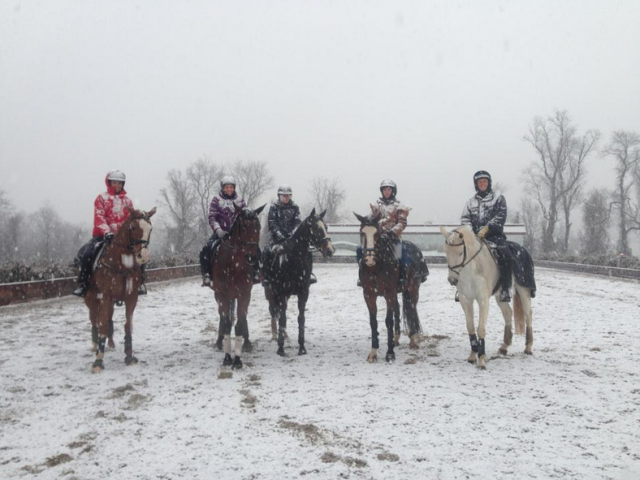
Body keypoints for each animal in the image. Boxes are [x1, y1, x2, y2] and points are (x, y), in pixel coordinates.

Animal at [84, 205, 156, 372]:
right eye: (133, 227)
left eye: (150, 228)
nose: (143, 256)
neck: (122, 265)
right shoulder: (105, 296)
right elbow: (103, 326)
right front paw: (98, 361)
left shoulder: (131, 297)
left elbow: (128, 326)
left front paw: (129, 356)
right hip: (91, 299)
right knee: (94, 320)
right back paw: (95, 343)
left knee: (107, 318)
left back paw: (110, 343)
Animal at [206, 204, 264, 370]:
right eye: (242, 226)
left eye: (258, 226)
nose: (252, 257)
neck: (234, 264)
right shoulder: (222, 295)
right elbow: (226, 324)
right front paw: (227, 358)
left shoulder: (244, 295)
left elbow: (239, 324)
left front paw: (237, 360)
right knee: (222, 317)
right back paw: (219, 342)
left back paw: (247, 342)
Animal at [262, 210, 338, 356]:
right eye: (315, 228)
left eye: (326, 227)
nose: (330, 250)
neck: (294, 259)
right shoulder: (281, 293)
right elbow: (282, 318)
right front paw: (281, 349)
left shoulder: (303, 293)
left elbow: (301, 318)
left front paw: (302, 347)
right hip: (271, 293)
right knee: (274, 313)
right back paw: (275, 336)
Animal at [356, 210, 424, 364]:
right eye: (362, 233)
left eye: (377, 233)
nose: (369, 259)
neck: (376, 268)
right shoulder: (368, 294)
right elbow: (373, 321)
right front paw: (373, 352)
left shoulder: (389, 293)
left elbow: (388, 321)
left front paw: (390, 353)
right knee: (398, 309)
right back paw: (396, 338)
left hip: (413, 290)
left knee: (412, 310)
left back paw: (413, 339)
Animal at [440, 226, 536, 372]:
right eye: (446, 252)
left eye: (460, 253)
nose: (452, 280)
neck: (472, 268)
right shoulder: (465, 299)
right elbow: (470, 327)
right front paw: (472, 355)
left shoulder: (483, 300)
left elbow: (480, 328)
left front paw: (481, 360)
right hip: (500, 296)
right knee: (508, 313)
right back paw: (504, 347)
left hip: (524, 290)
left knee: (528, 315)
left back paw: (528, 347)